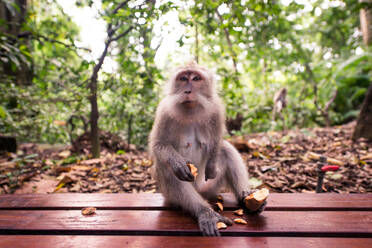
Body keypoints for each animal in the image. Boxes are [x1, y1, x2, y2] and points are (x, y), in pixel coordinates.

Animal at [148, 62, 264, 236]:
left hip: (210, 188)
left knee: (226, 149)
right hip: (172, 197)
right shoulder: (164, 111)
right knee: (167, 168)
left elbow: (217, 140)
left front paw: (211, 166)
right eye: (183, 78)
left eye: (196, 78)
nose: (187, 91)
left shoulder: (216, 108)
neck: (191, 109)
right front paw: (177, 163)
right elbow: (158, 145)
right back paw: (205, 212)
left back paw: (246, 198)